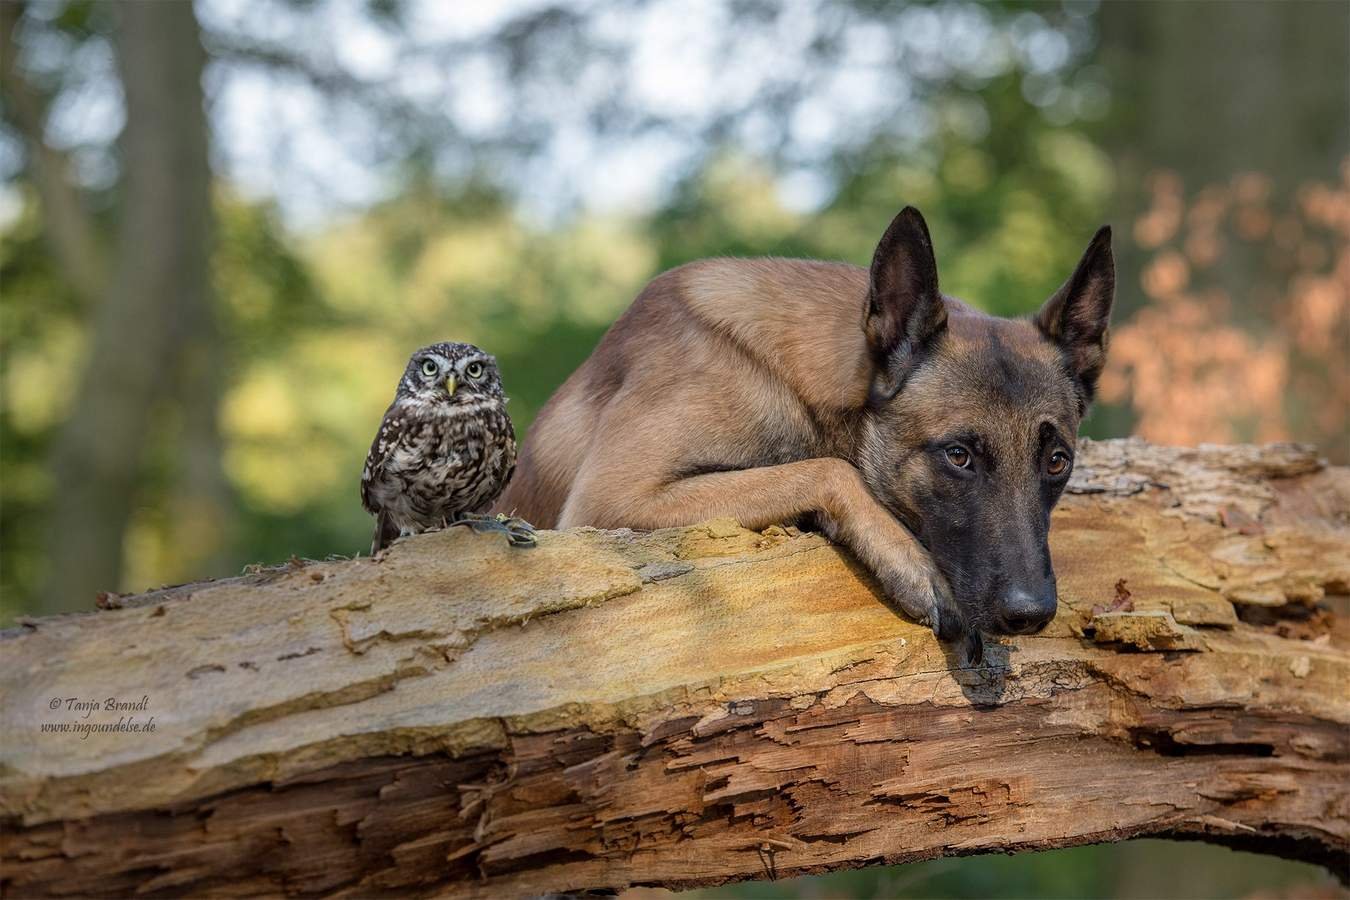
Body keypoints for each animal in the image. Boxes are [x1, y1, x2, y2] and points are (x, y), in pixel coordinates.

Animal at [494, 206, 1107, 661]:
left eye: (1057, 461)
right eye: (958, 455)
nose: (1030, 614)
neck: (791, 375)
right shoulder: (610, 500)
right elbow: (829, 468)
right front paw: (910, 563)